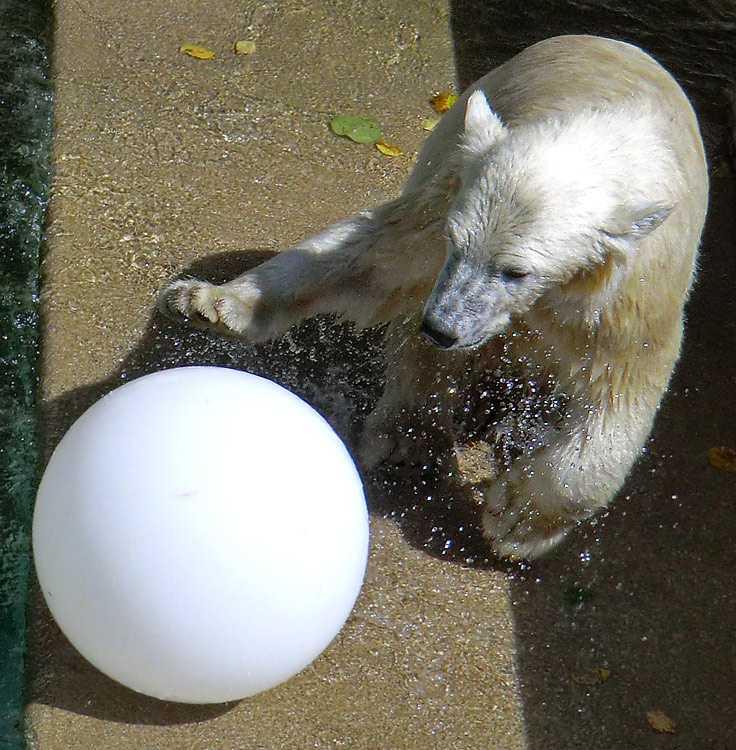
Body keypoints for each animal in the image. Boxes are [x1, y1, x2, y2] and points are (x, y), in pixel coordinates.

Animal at [161, 36, 708, 560]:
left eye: (516, 271)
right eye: (455, 241)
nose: (442, 328)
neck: (603, 136)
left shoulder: (631, 295)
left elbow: (622, 390)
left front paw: (517, 519)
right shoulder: (450, 197)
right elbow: (378, 257)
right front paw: (211, 304)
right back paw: (407, 438)